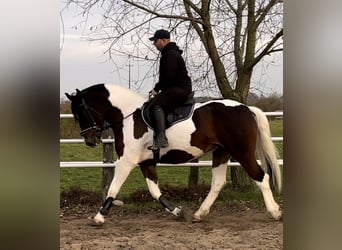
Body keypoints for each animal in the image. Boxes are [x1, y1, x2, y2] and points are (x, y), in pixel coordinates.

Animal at [65, 83, 282, 224]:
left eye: (81, 112)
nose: (89, 141)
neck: (127, 116)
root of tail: (246, 108)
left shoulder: (126, 161)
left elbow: (113, 188)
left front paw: (99, 216)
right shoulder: (146, 162)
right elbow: (154, 191)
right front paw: (178, 211)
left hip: (241, 152)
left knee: (262, 178)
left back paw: (274, 212)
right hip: (221, 153)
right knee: (218, 183)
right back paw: (199, 214)